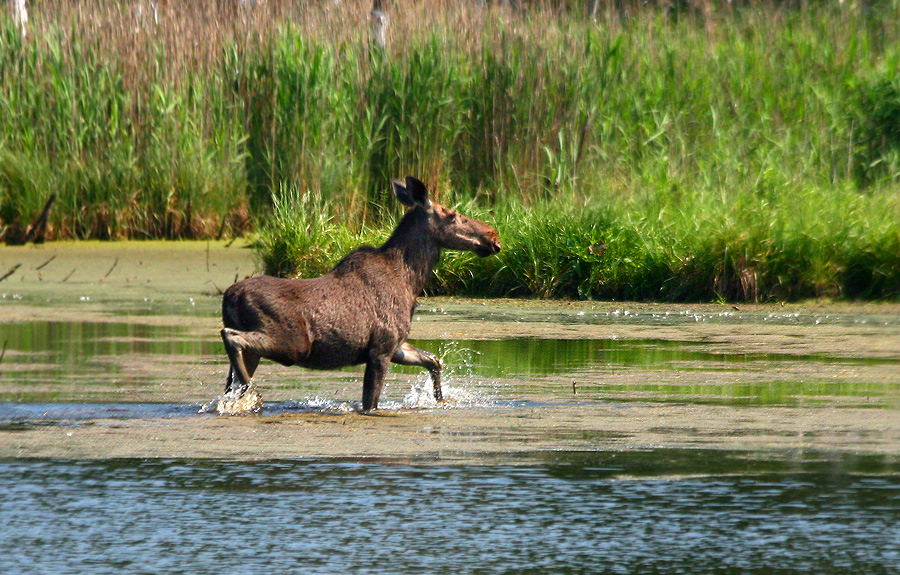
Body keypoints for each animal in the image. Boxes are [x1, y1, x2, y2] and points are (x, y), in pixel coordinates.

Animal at [218, 178, 500, 412]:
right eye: (452, 215)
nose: (492, 236)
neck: (411, 283)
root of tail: (228, 298)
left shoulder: (396, 345)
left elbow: (433, 361)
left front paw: (440, 399)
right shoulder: (380, 349)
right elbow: (370, 402)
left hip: (262, 351)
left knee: (229, 380)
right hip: (292, 344)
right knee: (231, 338)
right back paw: (253, 393)